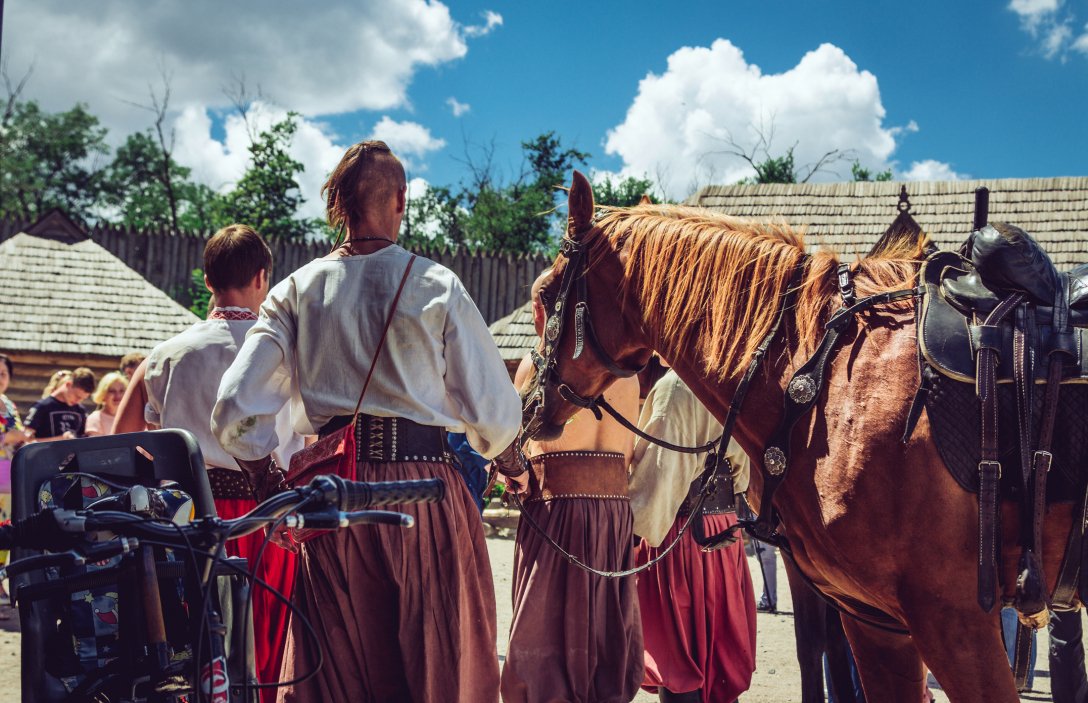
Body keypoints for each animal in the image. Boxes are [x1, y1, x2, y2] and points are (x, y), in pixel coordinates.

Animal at [522, 171, 1074, 703]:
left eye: (546, 292)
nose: (530, 402)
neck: (826, 374)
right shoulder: (874, 617)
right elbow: (823, 654)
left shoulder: (952, 618)